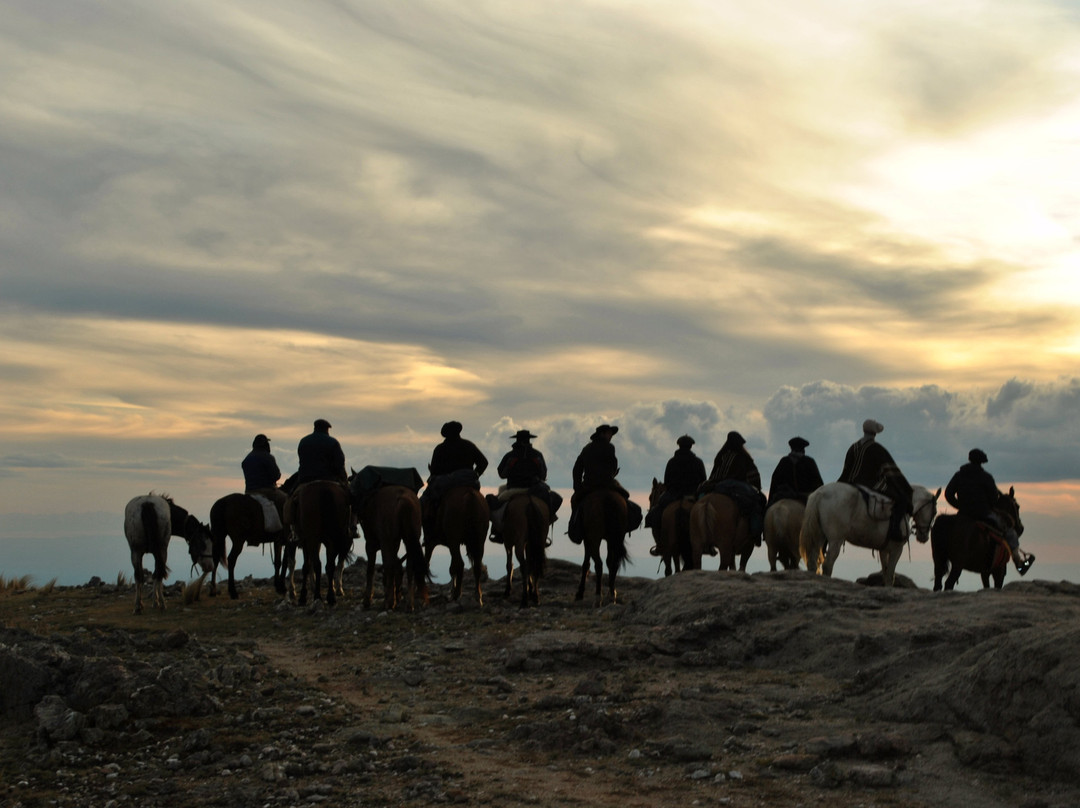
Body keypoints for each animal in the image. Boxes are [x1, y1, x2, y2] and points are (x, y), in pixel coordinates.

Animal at [799, 479, 941, 587]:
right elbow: (891, 575)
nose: (924, 537)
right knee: (828, 564)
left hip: (819, 537)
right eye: (935, 512)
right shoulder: (896, 549)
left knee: (812, 562)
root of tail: (820, 493)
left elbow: (886, 574)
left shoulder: (884, 550)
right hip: (835, 540)